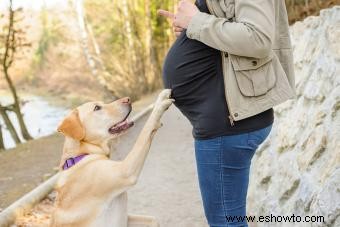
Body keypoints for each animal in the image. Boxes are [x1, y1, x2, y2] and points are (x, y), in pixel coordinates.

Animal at [51, 89, 173, 226]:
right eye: (97, 108)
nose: (128, 99)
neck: (80, 155)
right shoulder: (125, 172)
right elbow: (145, 130)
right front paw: (160, 102)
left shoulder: (126, 220)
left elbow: (154, 220)